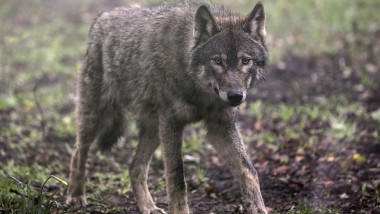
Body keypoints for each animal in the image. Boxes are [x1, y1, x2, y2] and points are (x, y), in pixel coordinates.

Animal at [67, 0, 268, 213]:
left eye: (245, 61)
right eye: (217, 61)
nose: (235, 96)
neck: (199, 92)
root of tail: (103, 18)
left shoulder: (220, 127)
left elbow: (249, 170)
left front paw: (257, 207)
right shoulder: (172, 124)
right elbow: (176, 178)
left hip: (154, 130)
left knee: (134, 167)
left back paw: (148, 206)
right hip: (96, 118)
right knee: (78, 150)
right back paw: (75, 195)